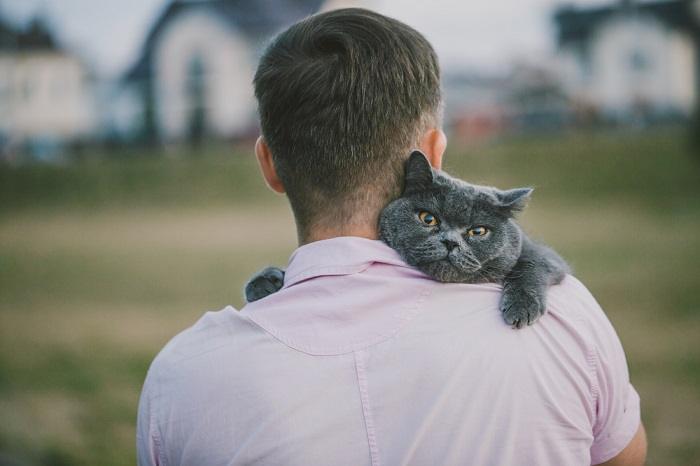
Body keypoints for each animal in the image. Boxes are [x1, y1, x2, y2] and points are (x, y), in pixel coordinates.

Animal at [246, 150, 568, 328]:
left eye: (477, 231)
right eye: (428, 218)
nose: (450, 241)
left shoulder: (547, 256)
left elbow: (530, 264)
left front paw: (522, 307)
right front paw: (265, 281)